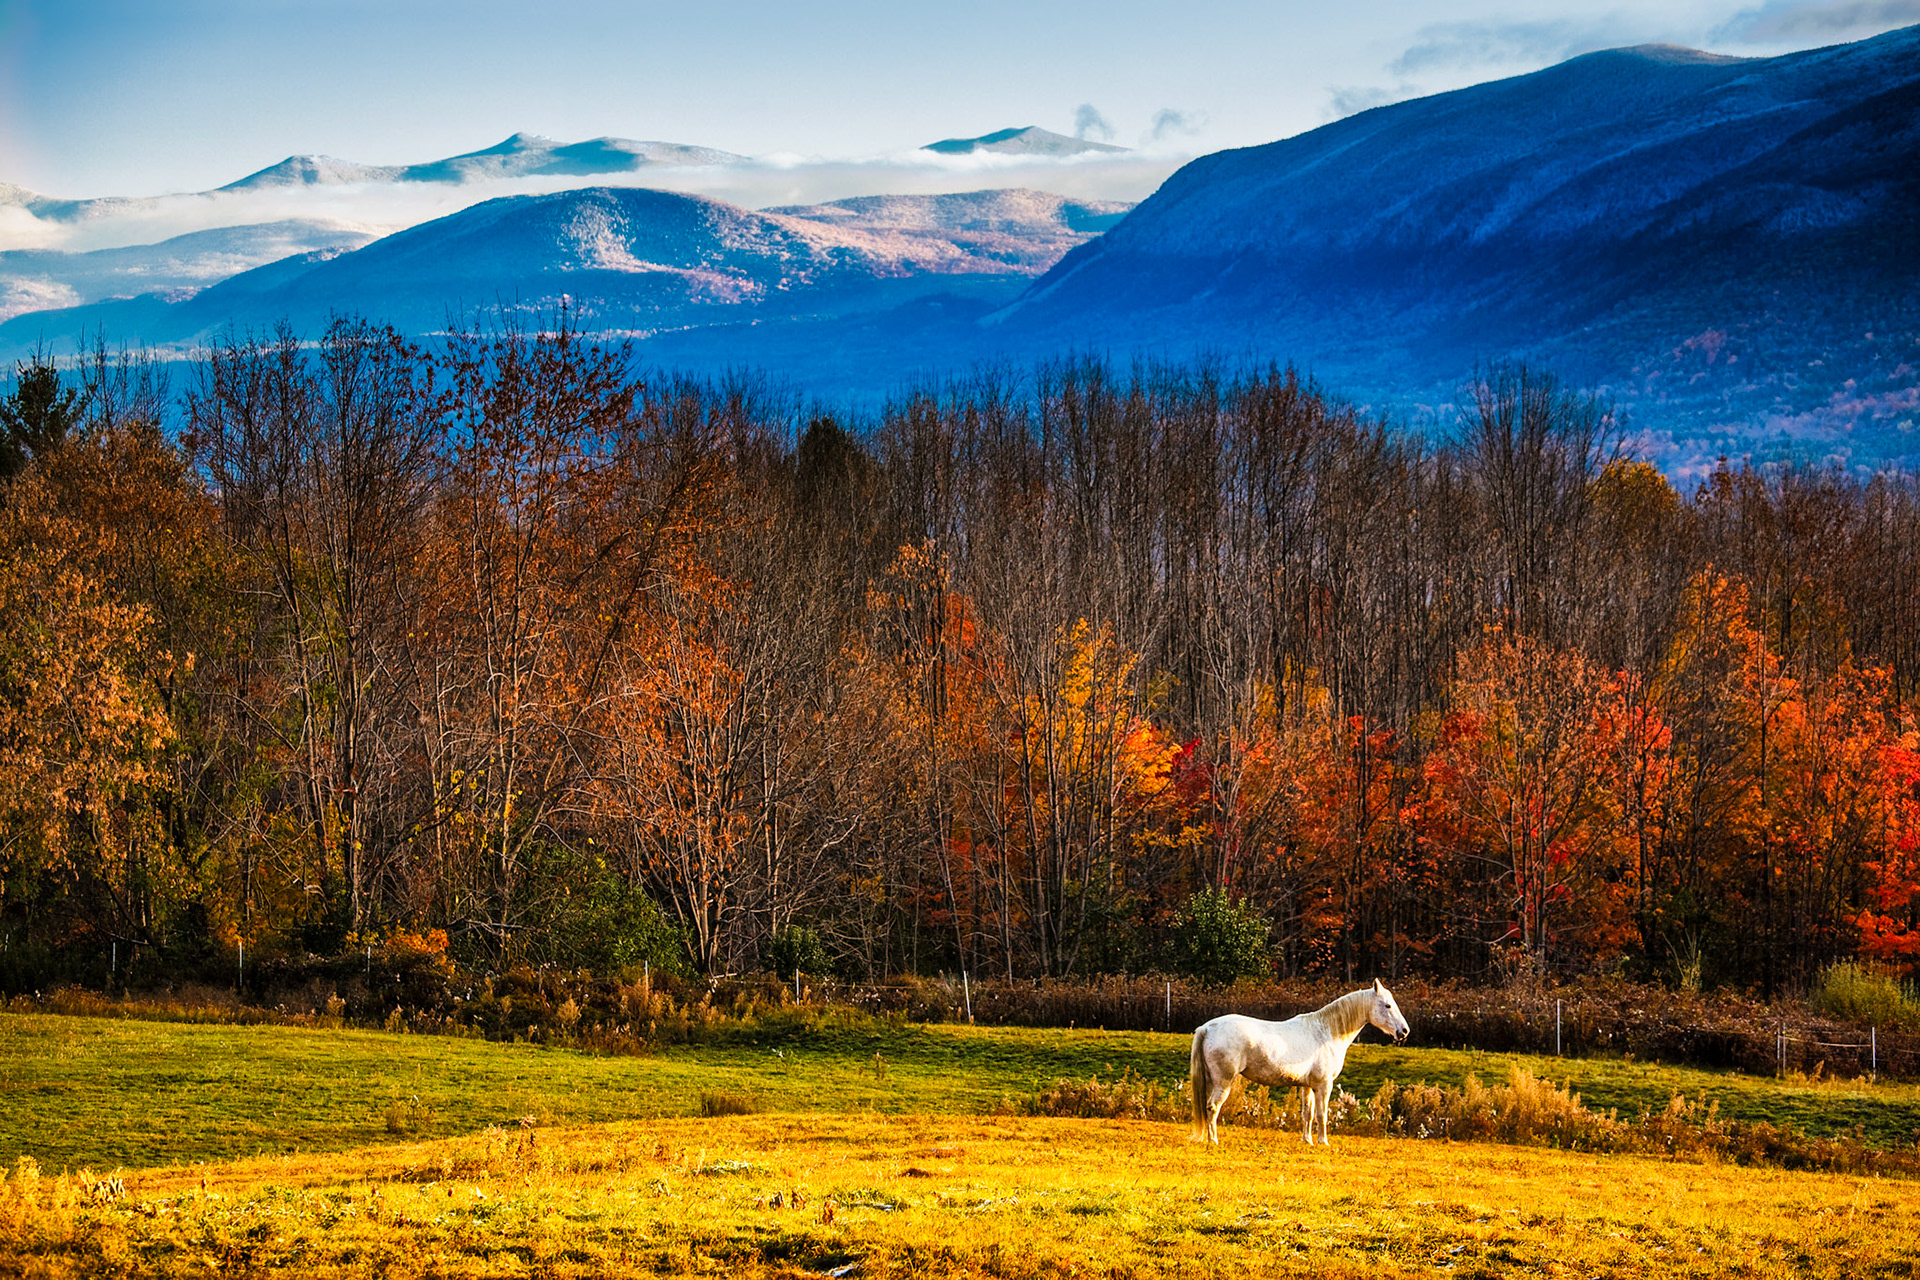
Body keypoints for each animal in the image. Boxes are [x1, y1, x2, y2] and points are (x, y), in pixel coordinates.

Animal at [1189, 979, 1410, 1145]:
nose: (1404, 1031)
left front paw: (1307, 1141)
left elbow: (1307, 1114)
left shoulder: (1307, 1086)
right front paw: (1323, 1142)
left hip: (1212, 1080)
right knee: (1213, 1107)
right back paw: (1213, 1140)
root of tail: (1207, 1027)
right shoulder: (1324, 1085)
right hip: (1223, 1081)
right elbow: (1321, 1114)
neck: (1327, 1032)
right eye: (1387, 1005)